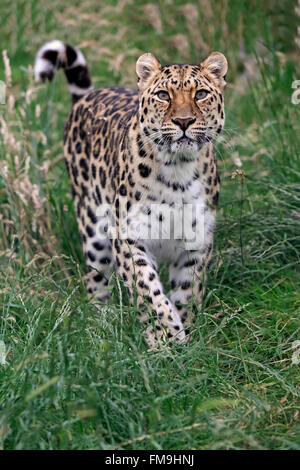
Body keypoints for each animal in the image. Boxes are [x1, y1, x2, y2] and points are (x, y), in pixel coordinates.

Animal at [35, 40, 227, 346]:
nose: (184, 121)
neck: (178, 171)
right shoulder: (128, 235)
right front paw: (164, 336)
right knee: (96, 280)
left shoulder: (197, 240)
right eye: (163, 95)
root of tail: (87, 96)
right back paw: (101, 324)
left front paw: (185, 334)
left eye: (201, 94)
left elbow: (188, 291)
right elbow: (147, 289)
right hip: (93, 227)